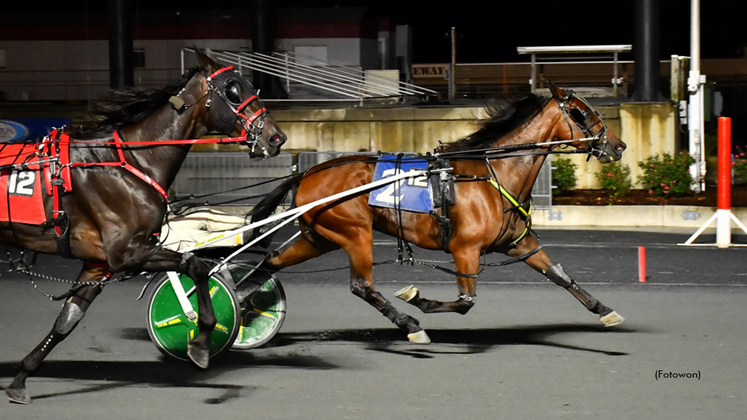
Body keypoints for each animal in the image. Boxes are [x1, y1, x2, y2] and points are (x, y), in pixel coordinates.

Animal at [1, 46, 288, 404]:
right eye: (233, 89)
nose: (276, 137)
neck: (132, 163)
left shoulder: (99, 263)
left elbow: (67, 320)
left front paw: (21, 378)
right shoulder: (128, 252)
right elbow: (195, 266)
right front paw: (200, 340)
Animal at [250, 82, 624, 344]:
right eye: (581, 112)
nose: (617, 146)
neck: (494, 173)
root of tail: (307, 173)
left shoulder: (518, 243)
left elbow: (560, 275)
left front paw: (605, 311)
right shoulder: (465, 249)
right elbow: (465, 300)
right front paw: (418, 300)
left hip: (319, 237)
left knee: (268, 264)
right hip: (355, 233)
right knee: (362, 286)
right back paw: (409, 325)